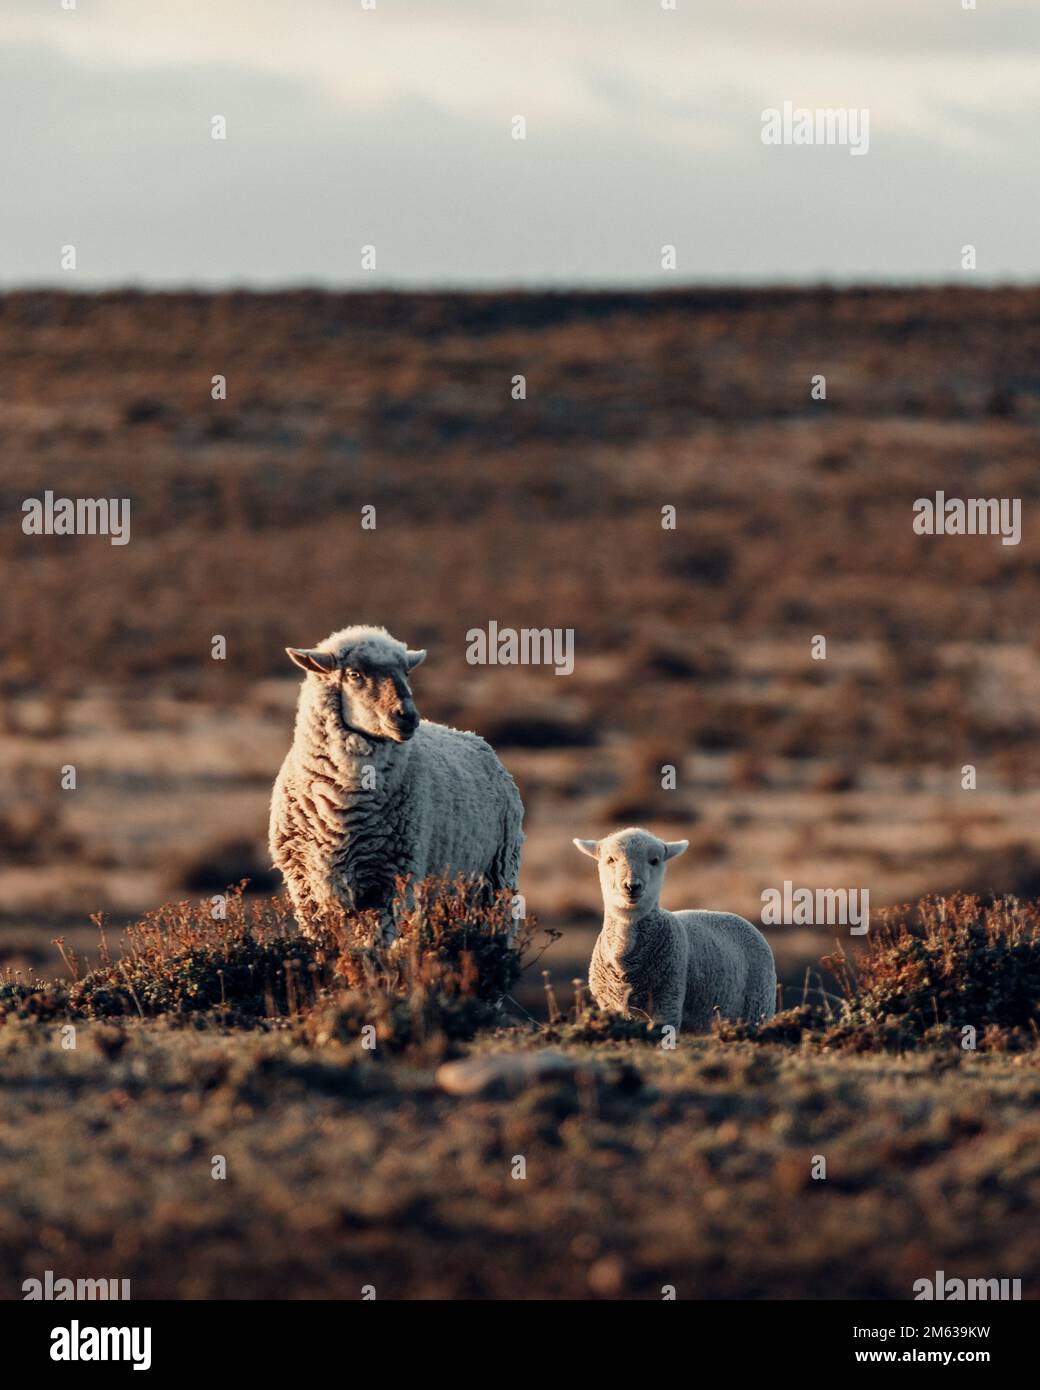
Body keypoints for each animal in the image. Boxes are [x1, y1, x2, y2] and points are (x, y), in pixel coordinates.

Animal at [269, 625, 524, 935]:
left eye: (406, 673)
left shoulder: (388, 885)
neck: (342, 808)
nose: (407, 716)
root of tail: (474, 736)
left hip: (496, 880)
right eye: (354, 673)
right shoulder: (307, 891)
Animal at [573, 827, 776, 1034]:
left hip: (758, 1005)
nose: (632, 886)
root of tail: (739, 918)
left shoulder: (668, 999)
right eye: (611, 859)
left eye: (654, 860)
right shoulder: (609, 1004)